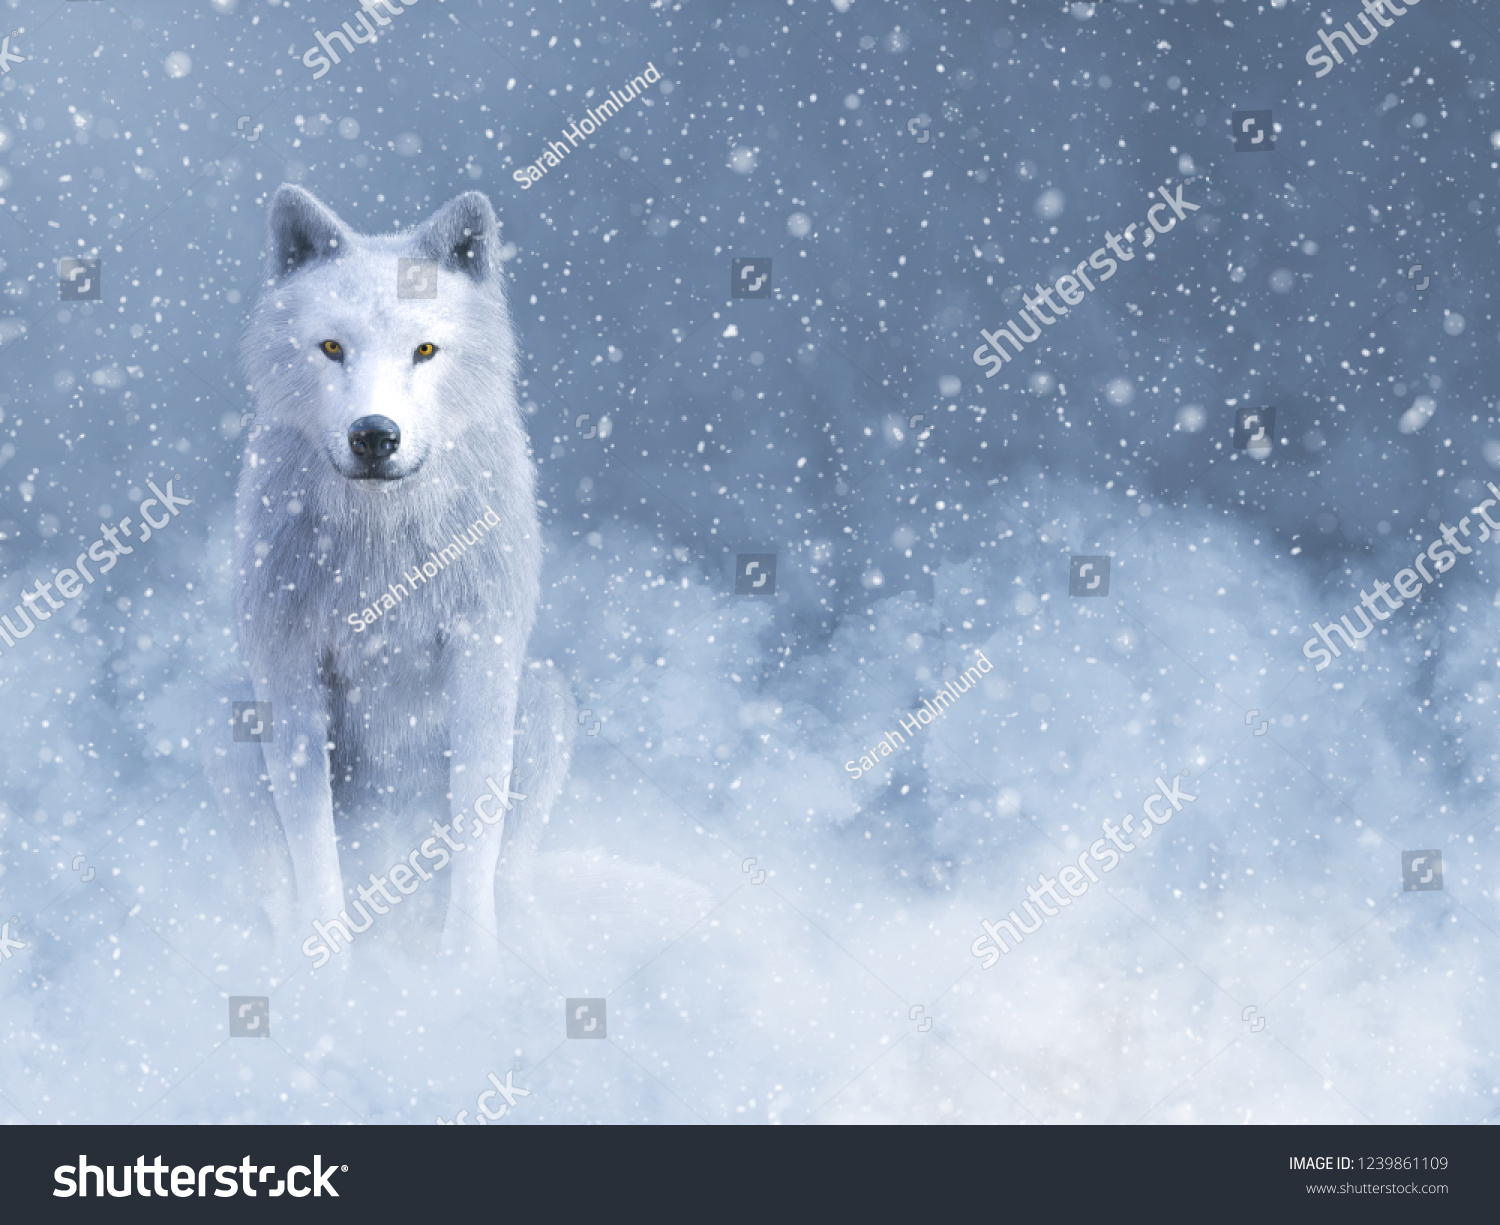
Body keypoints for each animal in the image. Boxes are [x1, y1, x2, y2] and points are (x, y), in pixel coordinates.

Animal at [203, 185, 575, 962]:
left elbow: (477, 824)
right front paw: (328, 974)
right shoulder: (288, 668)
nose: (374, 435)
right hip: (223, 717)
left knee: (511, 871)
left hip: (546, 697)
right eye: (332, 347)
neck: (384, 549)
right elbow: (314, 845)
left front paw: (467, 970)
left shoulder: (482, 656)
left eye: (424, 349)